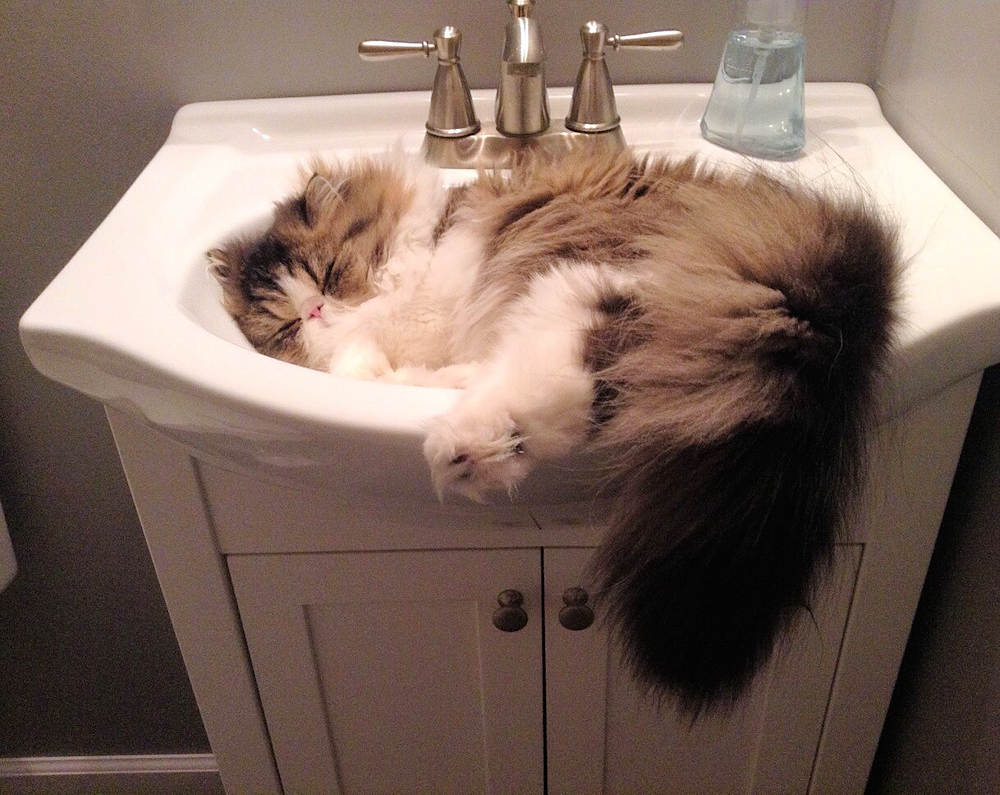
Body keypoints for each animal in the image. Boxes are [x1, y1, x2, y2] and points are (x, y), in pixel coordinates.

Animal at [211, 149, 900, 716]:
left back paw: (465, 436)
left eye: (328, 273)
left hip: (583, 279)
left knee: (576, 366)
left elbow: (379, 349)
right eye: (283, 326)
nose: (316, 311)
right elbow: (372, 363)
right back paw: (477, 445)